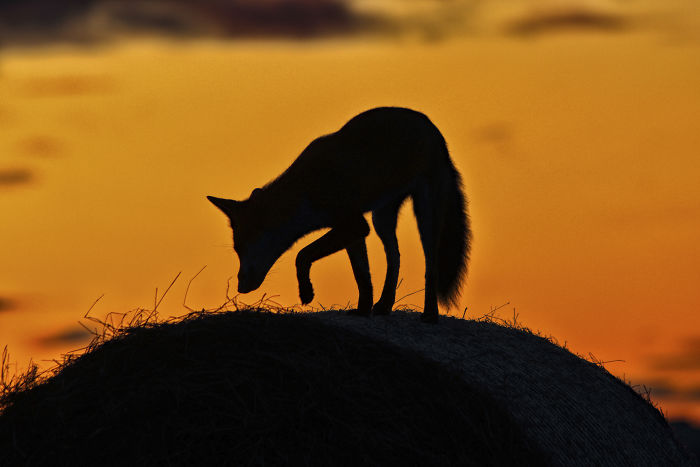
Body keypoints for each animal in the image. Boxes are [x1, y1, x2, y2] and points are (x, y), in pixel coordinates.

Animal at [207, 107, 471, 323]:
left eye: (241, 248)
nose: (240, 286)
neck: (307, 189)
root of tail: (430, 126)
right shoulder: (354, 229)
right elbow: (362, 276)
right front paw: (363, 310)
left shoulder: (354, 224)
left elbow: (301, 255)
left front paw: (306, 292)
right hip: (381, 219)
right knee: (395, 257)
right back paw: (385, 305)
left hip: (426, 215)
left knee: (430, 265)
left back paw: (430, 315)